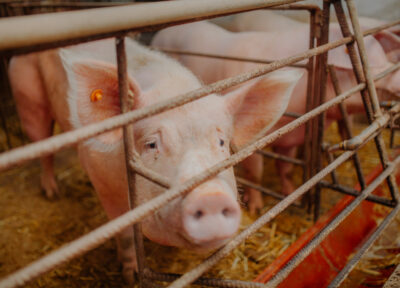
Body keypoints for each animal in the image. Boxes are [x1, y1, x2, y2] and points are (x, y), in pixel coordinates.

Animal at [7, 37, 302, 282]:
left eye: (221, 142)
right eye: (151, 144)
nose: (210, 196)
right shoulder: (102, 181)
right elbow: (125, 234)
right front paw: (132, 275)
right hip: (28, 99)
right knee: (43, 149)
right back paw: (52, 192)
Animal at [152, 17, 400, 212]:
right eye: (373, 63)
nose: (396, 76)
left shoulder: (291, 134)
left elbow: (286, 169)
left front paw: (293, 196)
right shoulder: (250, 142)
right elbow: (256, 173)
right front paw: (255, 208)